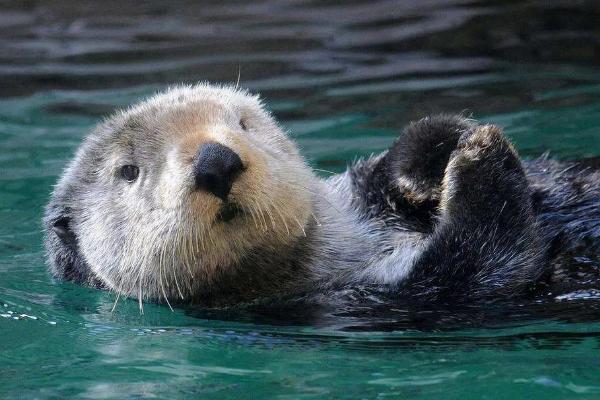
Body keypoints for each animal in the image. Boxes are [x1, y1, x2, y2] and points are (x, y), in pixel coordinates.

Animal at [44, 82, 600, 306]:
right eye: (128, 171)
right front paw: (480, 157)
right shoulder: (367, 301)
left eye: (242, 123)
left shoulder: (359, 195)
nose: (215, 161)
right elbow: (484, 265)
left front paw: (436, 154)